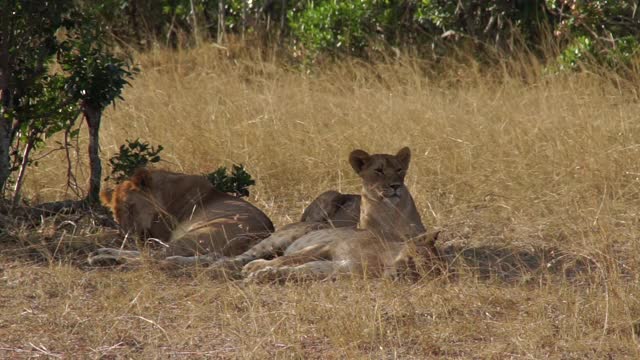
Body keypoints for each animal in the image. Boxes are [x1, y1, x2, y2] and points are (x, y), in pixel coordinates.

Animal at [87, 168, 272, 264]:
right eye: (116, 214)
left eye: (131, 207)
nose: (128, 235)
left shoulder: (160, 232)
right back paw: (102, 252)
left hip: (196, 234)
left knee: (153, 256)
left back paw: (102, 258)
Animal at [240, 146, 440, 282]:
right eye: (414, 260)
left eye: (420, 275)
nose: (400, 275)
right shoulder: (326, 246)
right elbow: (286, 259)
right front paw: (257, 268)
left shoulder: (338, 268)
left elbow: (298, 270)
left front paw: (264, 275)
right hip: (279, 238)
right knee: (248, 254)